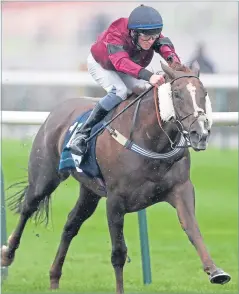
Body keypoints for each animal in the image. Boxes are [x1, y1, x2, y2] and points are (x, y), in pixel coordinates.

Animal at [1, 60, 230, 292]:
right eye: (176, 94)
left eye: (204, 93)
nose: (200, 134)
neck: (152, 141)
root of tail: (57, 110)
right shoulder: (115, 200)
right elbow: (118, 252)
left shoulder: (180, 189)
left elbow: (192, 228)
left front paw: (216, 271)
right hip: (45, 175)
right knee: (28, 206)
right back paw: (7, 254)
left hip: (90, 191)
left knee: (71, 224)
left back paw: (54, 278)